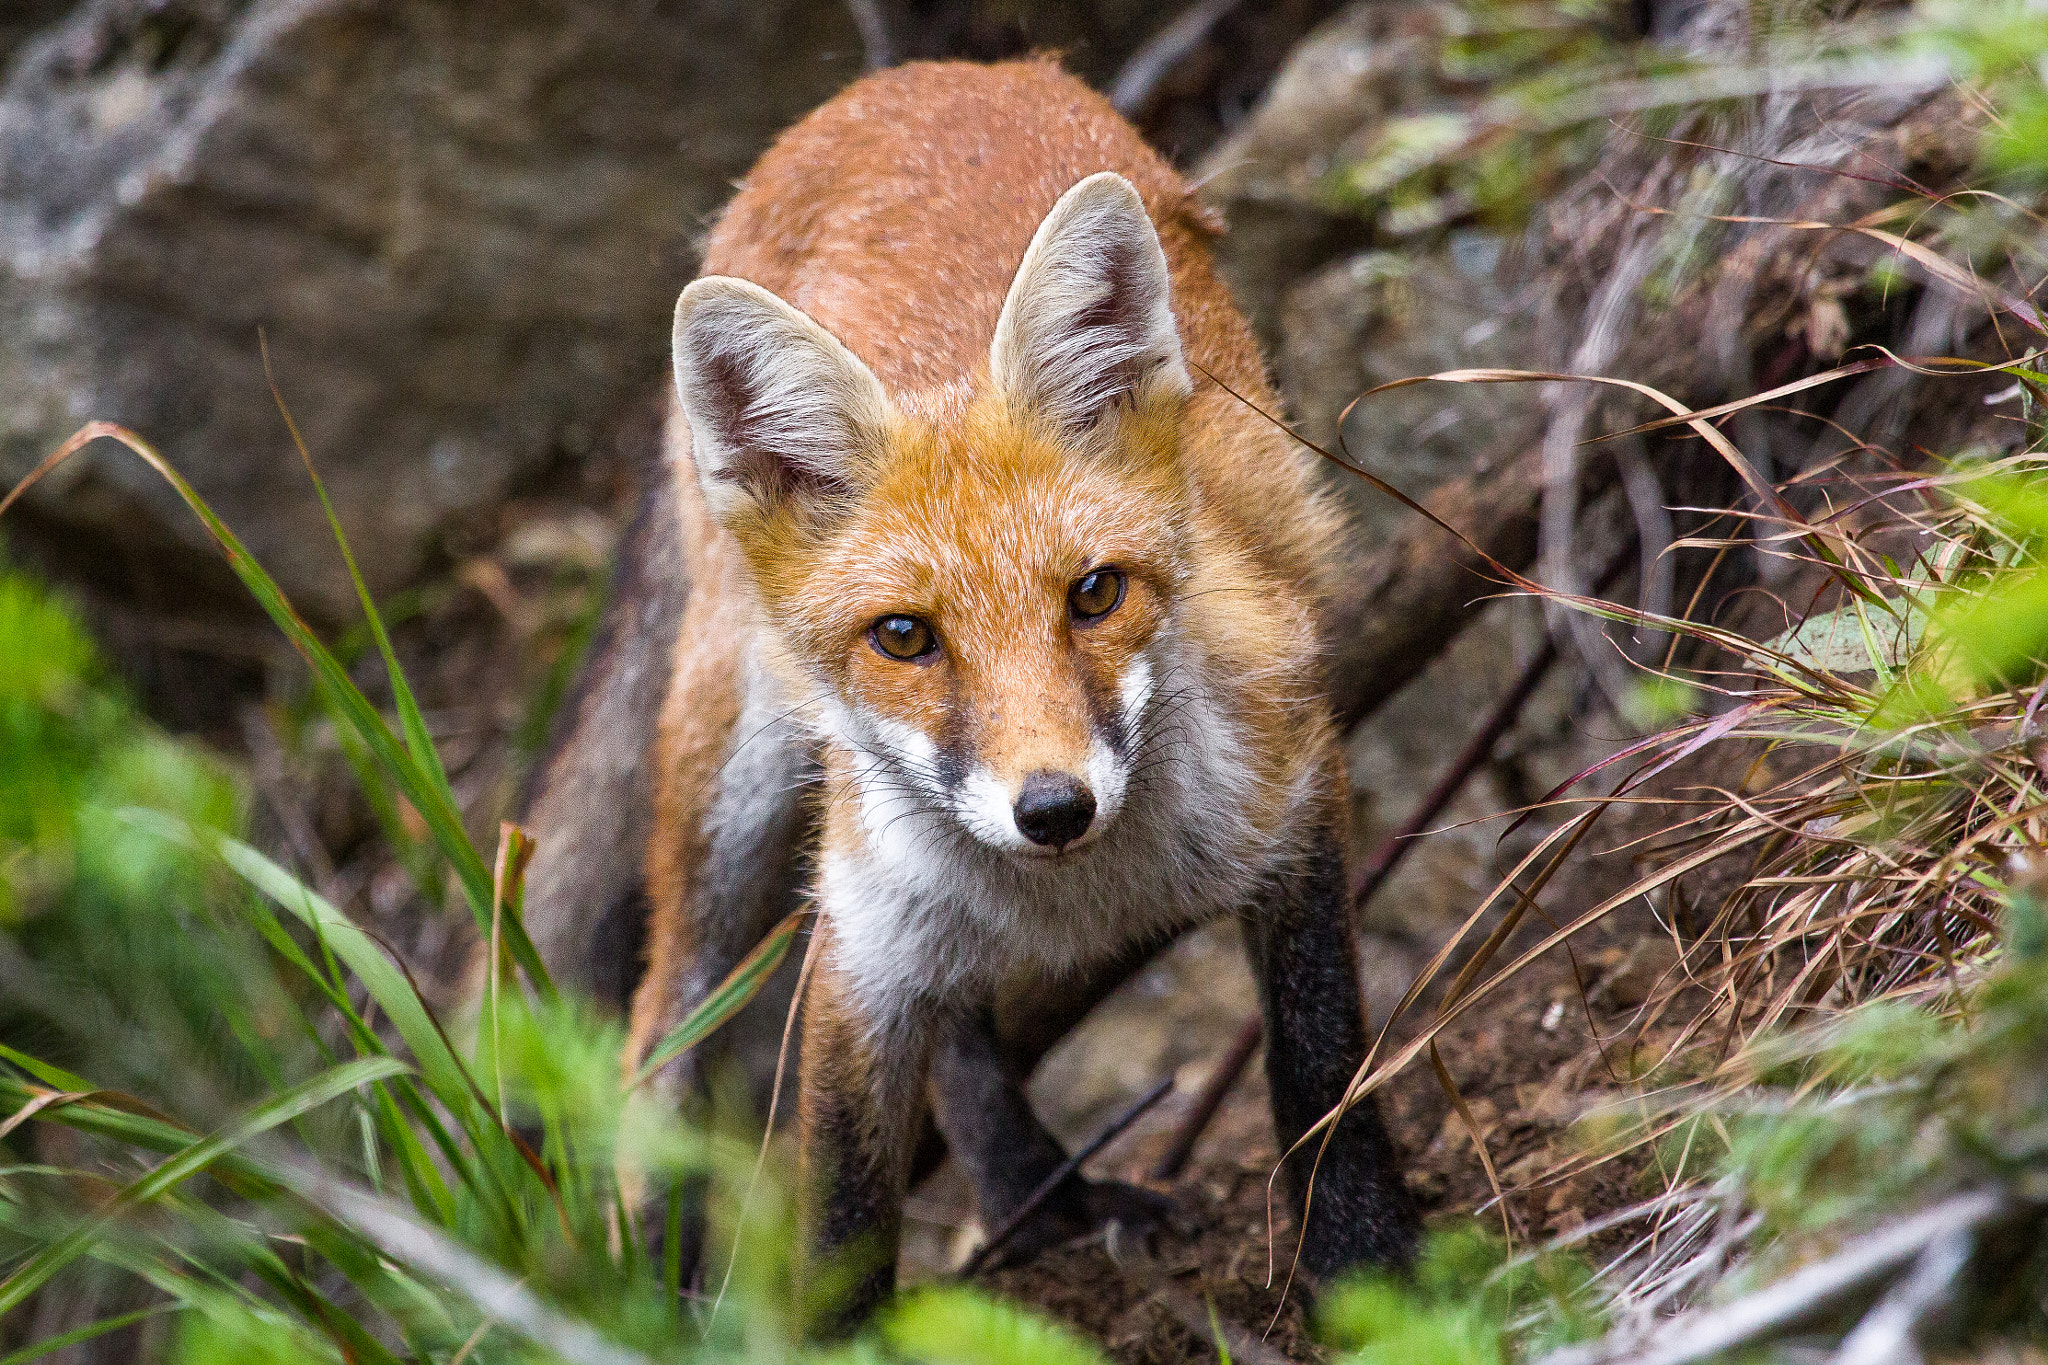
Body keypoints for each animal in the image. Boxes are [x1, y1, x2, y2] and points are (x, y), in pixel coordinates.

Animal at [515, 56, 1418, 1331]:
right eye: (904, 637)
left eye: (1094, 593)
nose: (1051, 809)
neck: (1079, 900)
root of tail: (922, 76)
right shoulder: (859, 946)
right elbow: (841, 1212)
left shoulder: (1294, 798)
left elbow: (1320, 1065)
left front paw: (1367, 1268)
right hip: (734, 786)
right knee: (662, 1031)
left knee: (958, 1041)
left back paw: (1033, 1199)